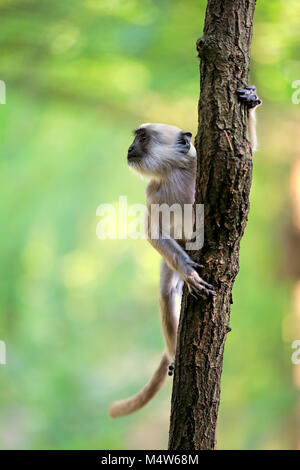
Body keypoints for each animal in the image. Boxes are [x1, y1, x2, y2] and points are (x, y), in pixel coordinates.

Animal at [109, 84, 262, 418]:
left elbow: (246, 157)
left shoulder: (199, 163)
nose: (129, 148)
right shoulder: (153, 191)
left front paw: (250, 100)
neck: (176, 170)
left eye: (142, 138)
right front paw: (190, 273)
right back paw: (174, 355)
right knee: (167, 293)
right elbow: (153, 232)